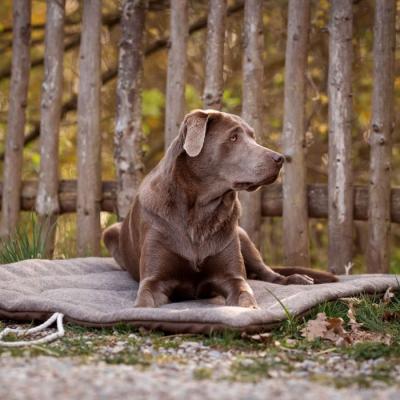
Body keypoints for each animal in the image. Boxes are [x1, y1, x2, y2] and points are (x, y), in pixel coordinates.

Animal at [104, 109, 338, 310]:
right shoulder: (153, 280)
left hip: (242, 235)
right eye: (233, 137)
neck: (198, 212)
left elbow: (245, 294)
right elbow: (143, 303)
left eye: (253, 137)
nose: (279, 158)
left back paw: (296, 279)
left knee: (268, 273)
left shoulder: (232, 277)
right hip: (110, 232)